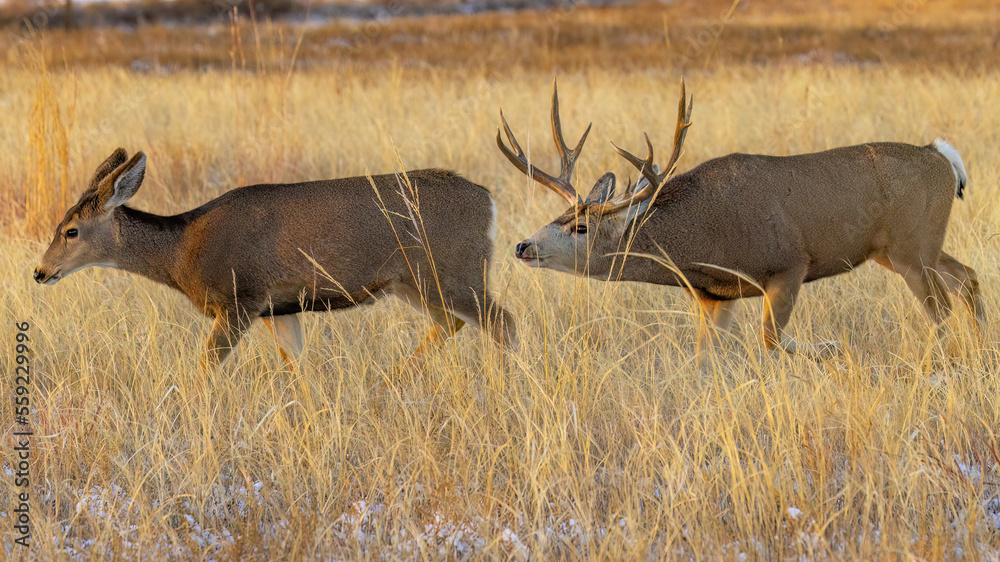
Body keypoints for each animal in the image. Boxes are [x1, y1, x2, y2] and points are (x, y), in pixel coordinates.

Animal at [34, 148, 516, 368]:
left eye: (70, 230)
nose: (40, 271)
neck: (182, 249)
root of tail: (489, 201)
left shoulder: (239, 300)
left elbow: (204, 370)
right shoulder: (280, 309)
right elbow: (297, 368)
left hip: (454, 270)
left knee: (502, 321)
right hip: (415, 282)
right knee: (452, 323)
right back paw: (399, 375)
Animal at [497, 80, 983, 357]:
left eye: (580, 227)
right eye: (559, 214)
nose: (523, 245)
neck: (700, 243)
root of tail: (940, 155)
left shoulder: (789, 265)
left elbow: (770, 340)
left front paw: (827, 347)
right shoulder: (714, 296)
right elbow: (705, 358)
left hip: (911, 247)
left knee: (941, 308)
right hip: (904, 249)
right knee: (968, 277)